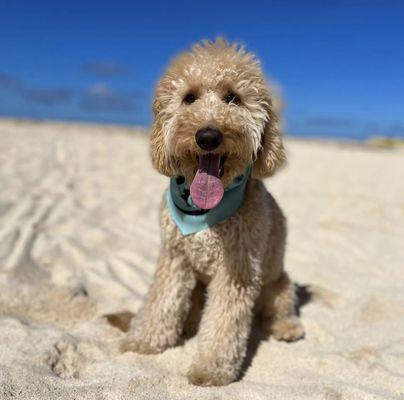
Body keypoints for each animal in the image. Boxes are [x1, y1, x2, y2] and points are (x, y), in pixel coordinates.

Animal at [123, 39, 304, 386]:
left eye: (233, 98)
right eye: (189, 97)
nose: (208, 136)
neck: (204, 215)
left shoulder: (237, 271)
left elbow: (224, 324)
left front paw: (210, 368)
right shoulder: (174, 258)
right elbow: (160, 302)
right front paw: (145, 340)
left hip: (278, 283)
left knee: (278, 308)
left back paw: (287, 328)